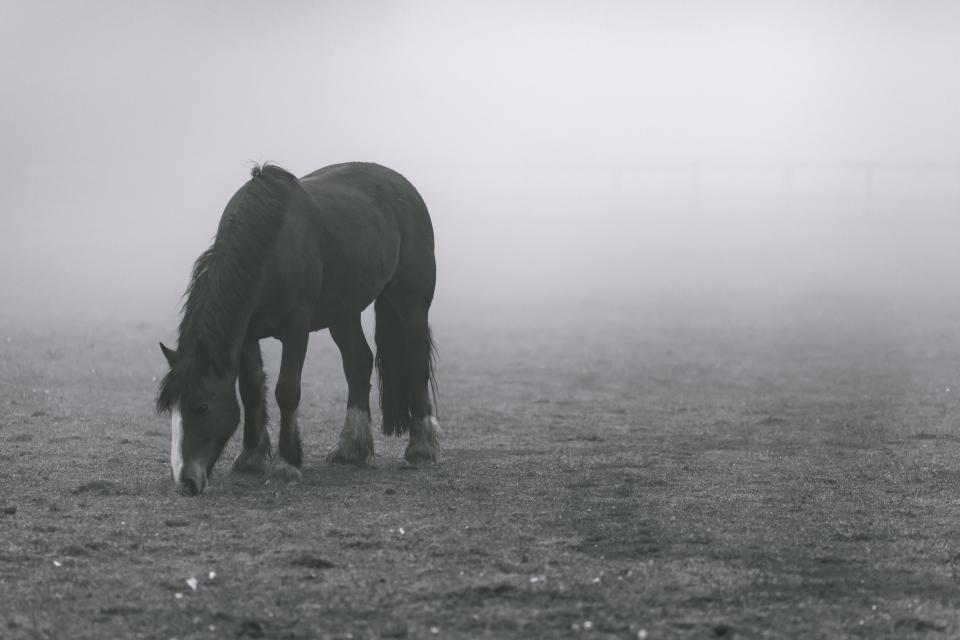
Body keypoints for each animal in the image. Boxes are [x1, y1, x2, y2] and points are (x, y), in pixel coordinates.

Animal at [155, 162, 440, 495]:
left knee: (416, 363)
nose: (185, 480)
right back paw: (350, 449)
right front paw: (251, 457)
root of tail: (404, 187)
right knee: (358, 363)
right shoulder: (247, 334)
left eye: (201, 407)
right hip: (343, 313)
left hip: (412, 305)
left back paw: (422, 447)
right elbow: (251, 389)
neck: (269, 246)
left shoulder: (296, 327)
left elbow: (287, 390)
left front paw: (286, 464)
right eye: (172, 409)